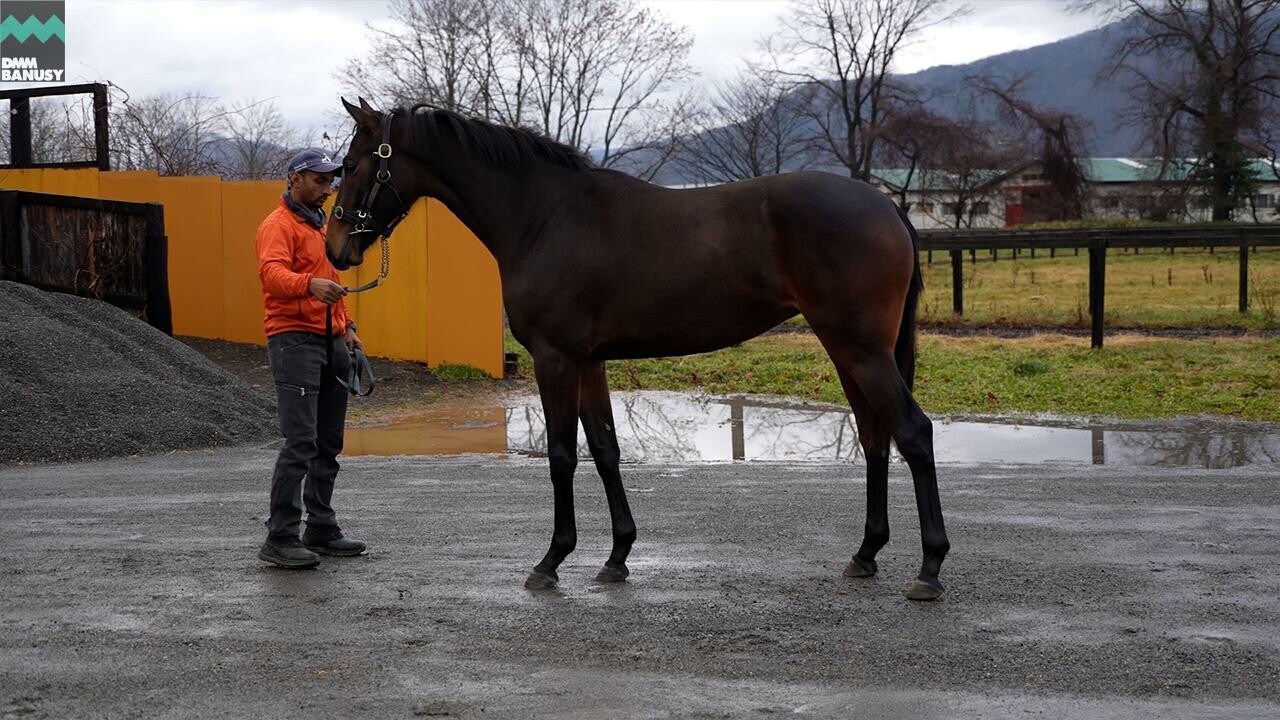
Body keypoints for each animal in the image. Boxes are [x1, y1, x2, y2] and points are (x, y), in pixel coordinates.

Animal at [327, 96, 952, 599]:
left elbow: (562, 455)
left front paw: (551, 561)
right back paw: (865, 555)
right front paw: (617, 557)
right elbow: (605, 450)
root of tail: (887, 207)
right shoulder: (589, 362)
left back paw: (929, 568)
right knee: (875, 438)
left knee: (913, 433)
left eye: (354, 164)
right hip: (849, 351)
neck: (545, 217)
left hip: (861, 349)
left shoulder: (556, 359)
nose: (335, 248)